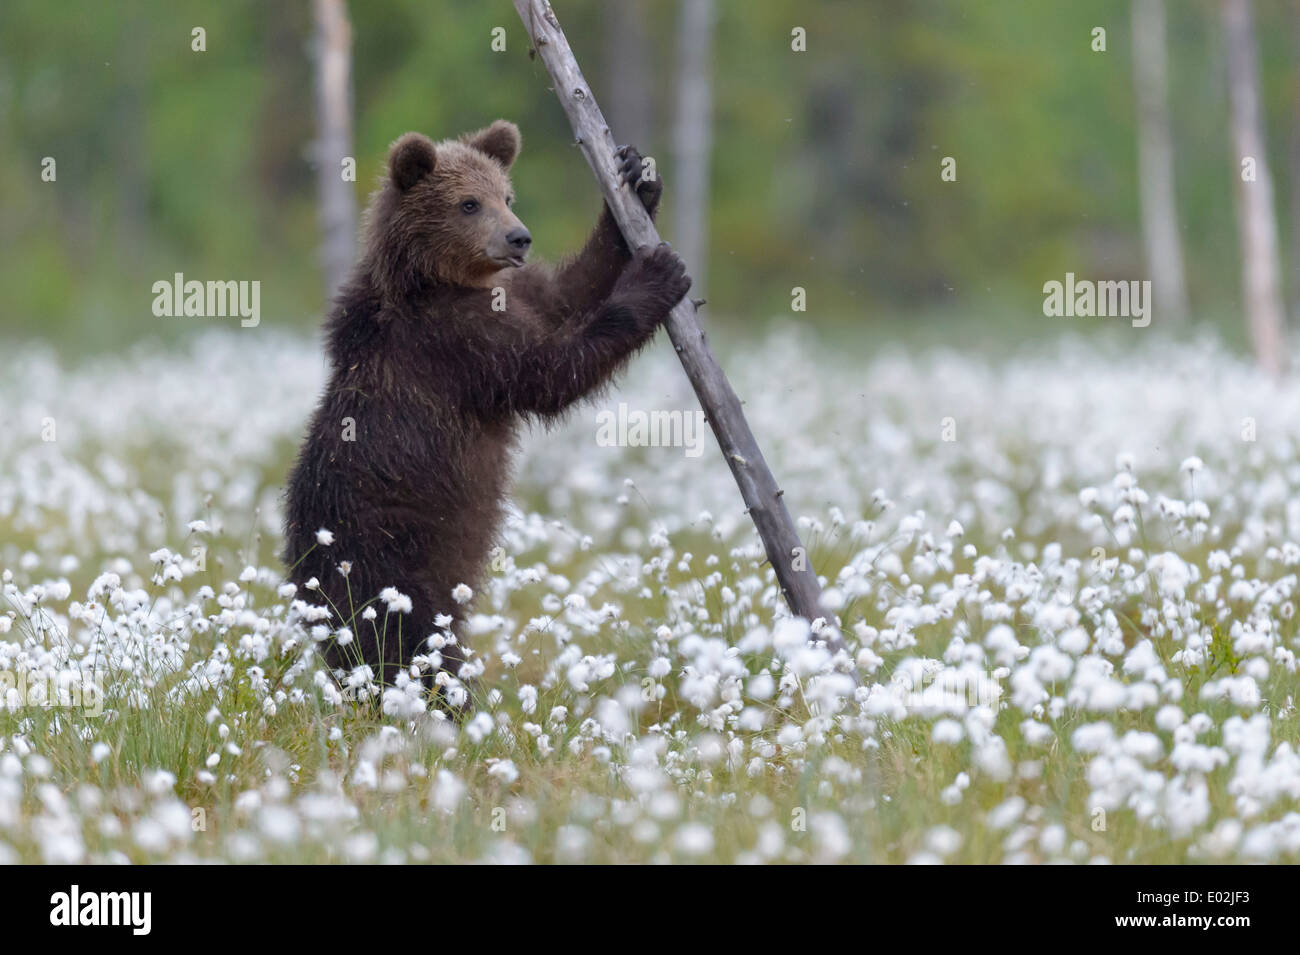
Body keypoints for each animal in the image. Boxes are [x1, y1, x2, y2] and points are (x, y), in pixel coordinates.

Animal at [282, 119, 690, 705]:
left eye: (507, 195)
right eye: (469, 203)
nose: (518, 237)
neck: (436, 279)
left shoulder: (508, 294)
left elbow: (565, 295)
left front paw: (636, 180)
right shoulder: (455, 345)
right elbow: (548, 372)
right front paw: (656, 274)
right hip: (393, 560)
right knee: (412, 649)